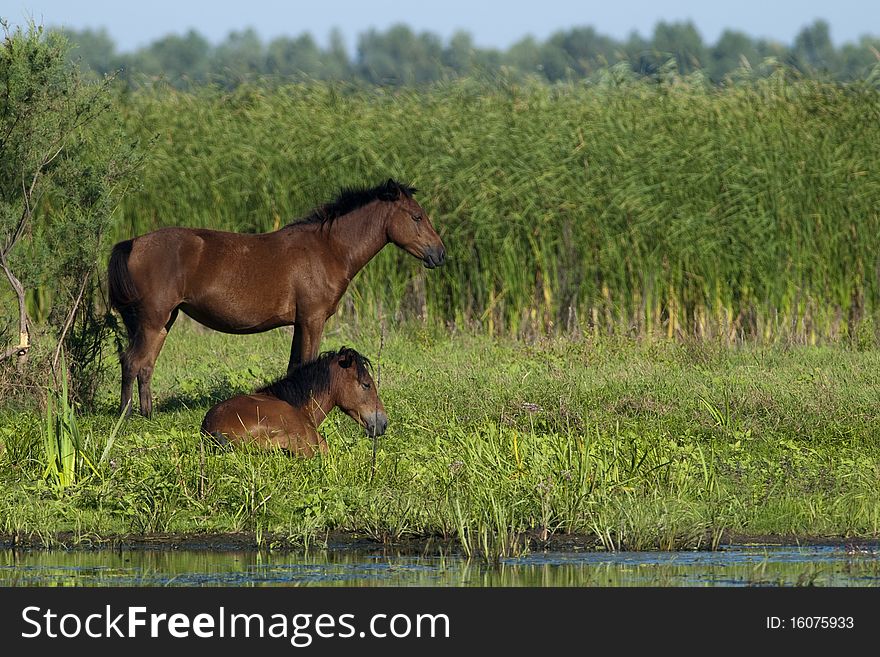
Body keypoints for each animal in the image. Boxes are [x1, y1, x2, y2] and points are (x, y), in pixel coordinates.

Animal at [106, 179, 444, 416]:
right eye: (417, 216)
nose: (439, 254)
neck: (327, 250)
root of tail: (133, 243)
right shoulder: (312, 320)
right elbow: (306, 363)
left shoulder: (299, 323)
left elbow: (294, 365)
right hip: (153, 320)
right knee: (132, 361)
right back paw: (126, 415)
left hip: (163, 321)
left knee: (146, 365)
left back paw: (148, 414)